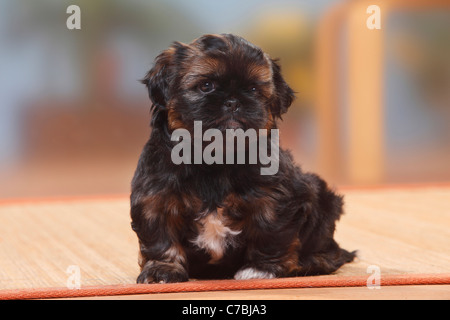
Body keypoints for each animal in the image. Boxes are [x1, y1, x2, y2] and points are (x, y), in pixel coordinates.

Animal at [130, 33, 356, 282]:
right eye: (206, 86)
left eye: (253, 89)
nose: (233, 101)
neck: (216, 157)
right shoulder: (155, 198)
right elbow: (161, 238)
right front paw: (162, 269)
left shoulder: (275, 199)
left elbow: (271, 232)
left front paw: (260, 269)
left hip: (323, 200)